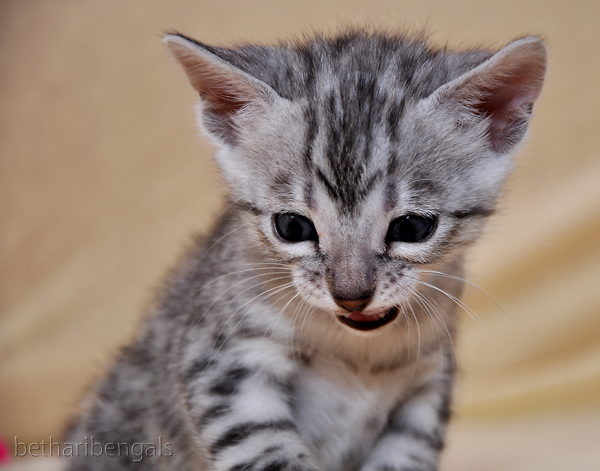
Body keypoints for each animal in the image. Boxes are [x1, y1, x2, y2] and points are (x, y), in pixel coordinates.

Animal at [63, 30, 548, 471]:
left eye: (412, 227)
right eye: (293, 227)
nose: (351, 295)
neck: (362, 354)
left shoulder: (428, 384)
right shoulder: (221, 362)